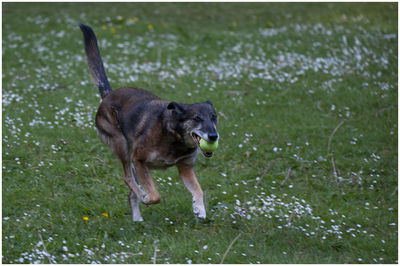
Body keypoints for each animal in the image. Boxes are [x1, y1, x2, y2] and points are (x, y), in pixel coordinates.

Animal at [79, 23, 219, 221]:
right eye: (196, 118)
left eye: (214, 117)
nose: (213, 137)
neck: (174, 135)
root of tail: (108, 95)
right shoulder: (139, 160)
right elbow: (155, 195)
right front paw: (146, 196)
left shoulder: (184, 168)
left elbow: (198, 189)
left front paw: (199, 208)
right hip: (122, 146)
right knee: (128, 179)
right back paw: (140, 197)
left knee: (130, 190)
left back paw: (137, 219)